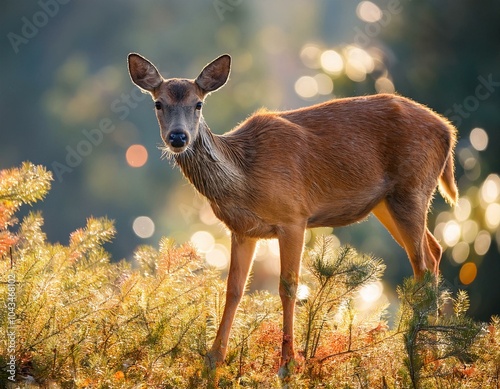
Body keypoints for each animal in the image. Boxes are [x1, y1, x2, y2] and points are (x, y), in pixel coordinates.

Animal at [128, 51, 458, 372]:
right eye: (158, 103)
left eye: (198, 103)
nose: (178, 137)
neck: (244, 177)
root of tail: (448, 131)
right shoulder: (242, 230)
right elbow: (234, 289)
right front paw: (213, 360)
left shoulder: (293, 217)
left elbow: (288, 287)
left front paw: (288, 363)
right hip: (386, 202)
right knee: (434, 250)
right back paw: (434, 351)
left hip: (411, 188)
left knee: (422, 264)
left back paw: (421, 354)